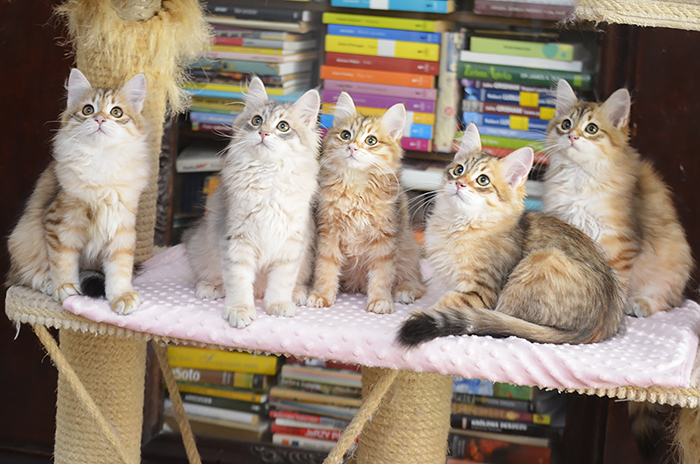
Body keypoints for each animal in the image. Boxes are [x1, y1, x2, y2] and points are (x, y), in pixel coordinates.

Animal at [7, 68, 151, 315]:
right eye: (88, 110)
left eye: (116, 112)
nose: (100, 119)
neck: (101, 161)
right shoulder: (61, 219)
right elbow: (62, 260)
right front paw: (65, 287)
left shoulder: (122, 224)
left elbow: (120, 267)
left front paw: (121, 295)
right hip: (20, 239)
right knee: (22, 276)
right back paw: (48, 283)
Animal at [183, 76, 320, 328]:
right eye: (257, 121)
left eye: (283, 126)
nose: (263, 133)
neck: (268, 175)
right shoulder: (236, 241)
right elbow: (238, 283)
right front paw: (240, 310)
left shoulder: (291, 244)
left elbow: (282, 281)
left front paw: (278, 305)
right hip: (200, 247)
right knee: (209, 275)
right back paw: (211, 286)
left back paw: (297, 293)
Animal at [306, 92, 425, 314]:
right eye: (346, 135)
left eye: (371, 140)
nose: (352, 147)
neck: (355, 189)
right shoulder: (328, 233)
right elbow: (325, 268)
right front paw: (322, 295)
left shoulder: (385, 239)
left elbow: (382, 275)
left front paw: (380, 300)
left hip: (408, 248)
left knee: (418, 282)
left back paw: (405, 291)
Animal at [397, 123, 625, 347]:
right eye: (458, 170)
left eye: (482, 180)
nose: (459, 183)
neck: (457, 223)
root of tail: (596, 327)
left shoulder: (480, 291)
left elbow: (446, 303)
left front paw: (420, 312)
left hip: (543, 259)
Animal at [542, 79, 693, 317]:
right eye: (566, 124)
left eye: (591, 129)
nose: (572, 136)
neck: (579, 175)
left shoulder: (620, 241)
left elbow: (617, 281)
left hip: (675, 259)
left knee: (668, 302)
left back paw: (641, 304)